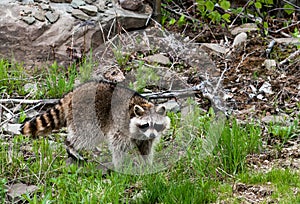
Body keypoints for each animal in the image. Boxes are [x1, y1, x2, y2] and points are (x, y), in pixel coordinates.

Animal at [20, 80, 171, 170]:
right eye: (145, 124)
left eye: (156, 125)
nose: (152, 134)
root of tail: (73, 93)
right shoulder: (121, 128)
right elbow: (117, 146)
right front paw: (120, 166)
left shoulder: (146, 137)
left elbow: (146, 147)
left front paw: (147, 163)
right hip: (87, 115)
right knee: (84, 136)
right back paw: (70, 146)